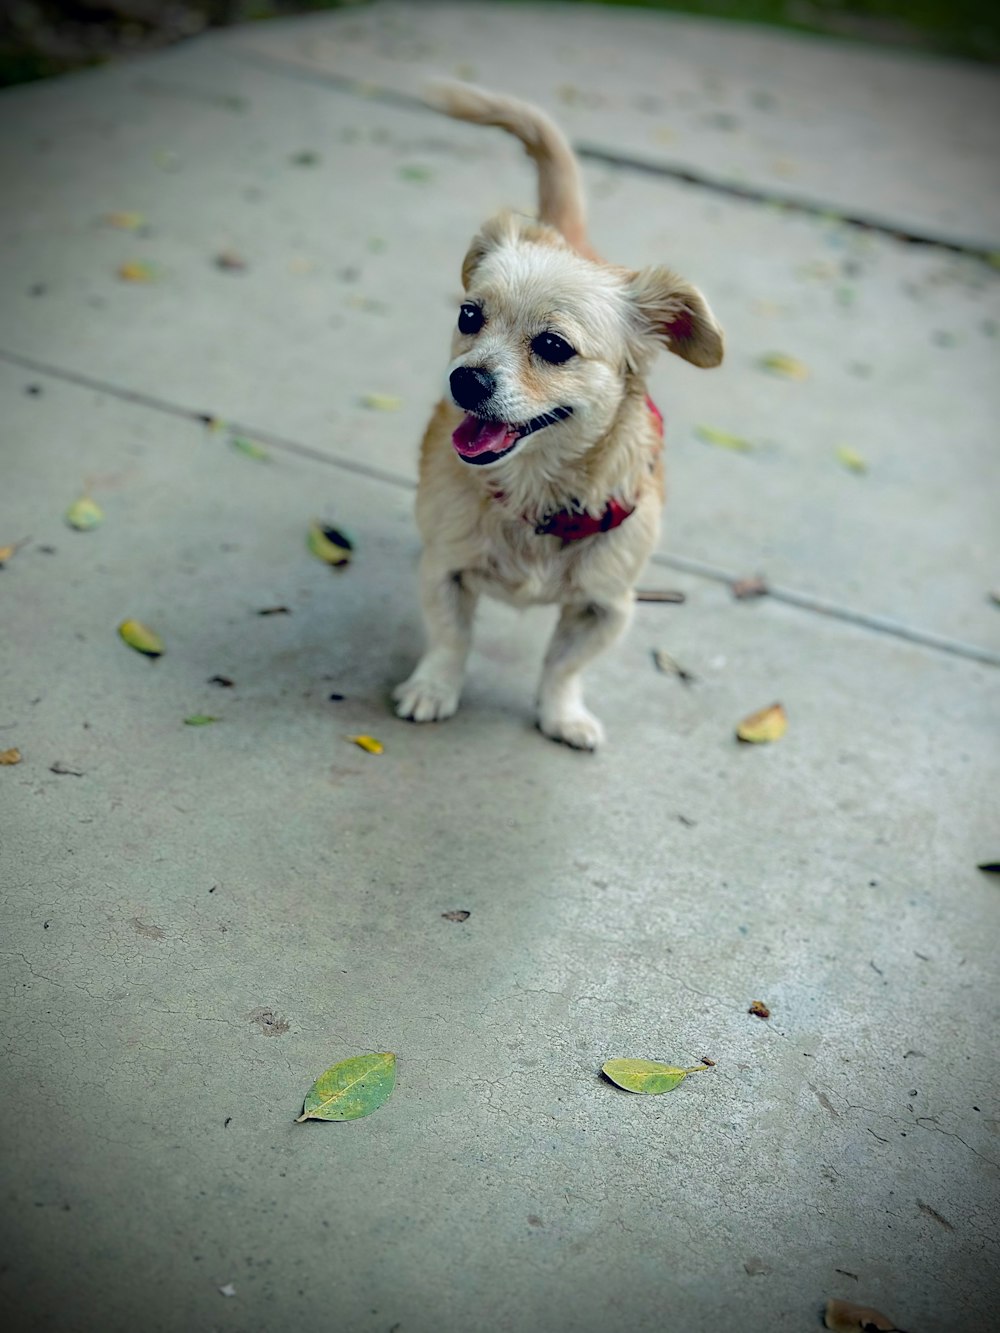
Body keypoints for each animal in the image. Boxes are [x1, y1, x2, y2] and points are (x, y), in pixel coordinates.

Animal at [394, 83, 730, 751]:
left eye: (553, 346)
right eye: (469, 316)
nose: (464, 379)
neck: (536, 492)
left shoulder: (608, 607)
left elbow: (563, 665)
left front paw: (561, 714)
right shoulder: (444, 571)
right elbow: (451, 638)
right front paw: (435, 688)